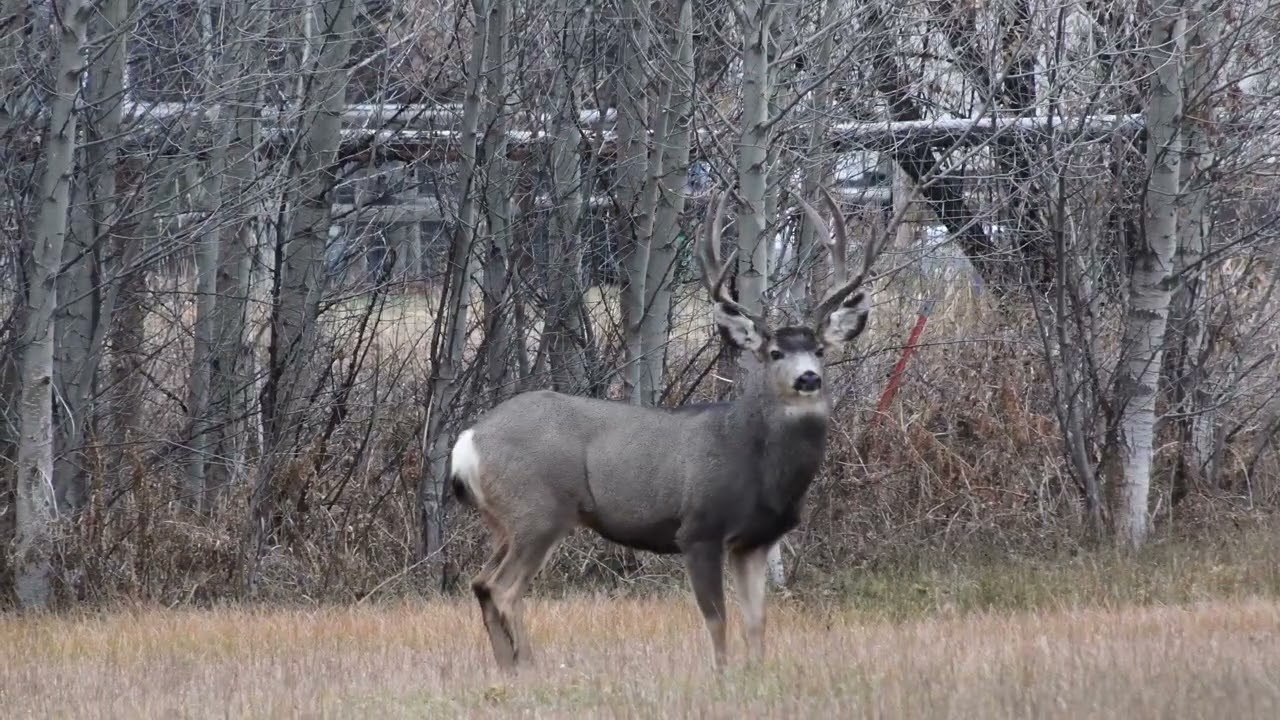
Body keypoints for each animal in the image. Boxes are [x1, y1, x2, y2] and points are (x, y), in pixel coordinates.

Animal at [449, 185, 877, 672]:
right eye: (774, 353)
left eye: (820, 350)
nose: (808, 378)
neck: (756, 462)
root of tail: (468, 441)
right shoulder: (699, 528)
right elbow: (717, 619)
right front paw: (723, 674)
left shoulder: (754, 541)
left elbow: (757, 621)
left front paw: (758, 672)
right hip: (538, 509)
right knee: (503, 588)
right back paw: (531, 666)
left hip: (503, 520)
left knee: (481, 583)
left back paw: (510, 669)